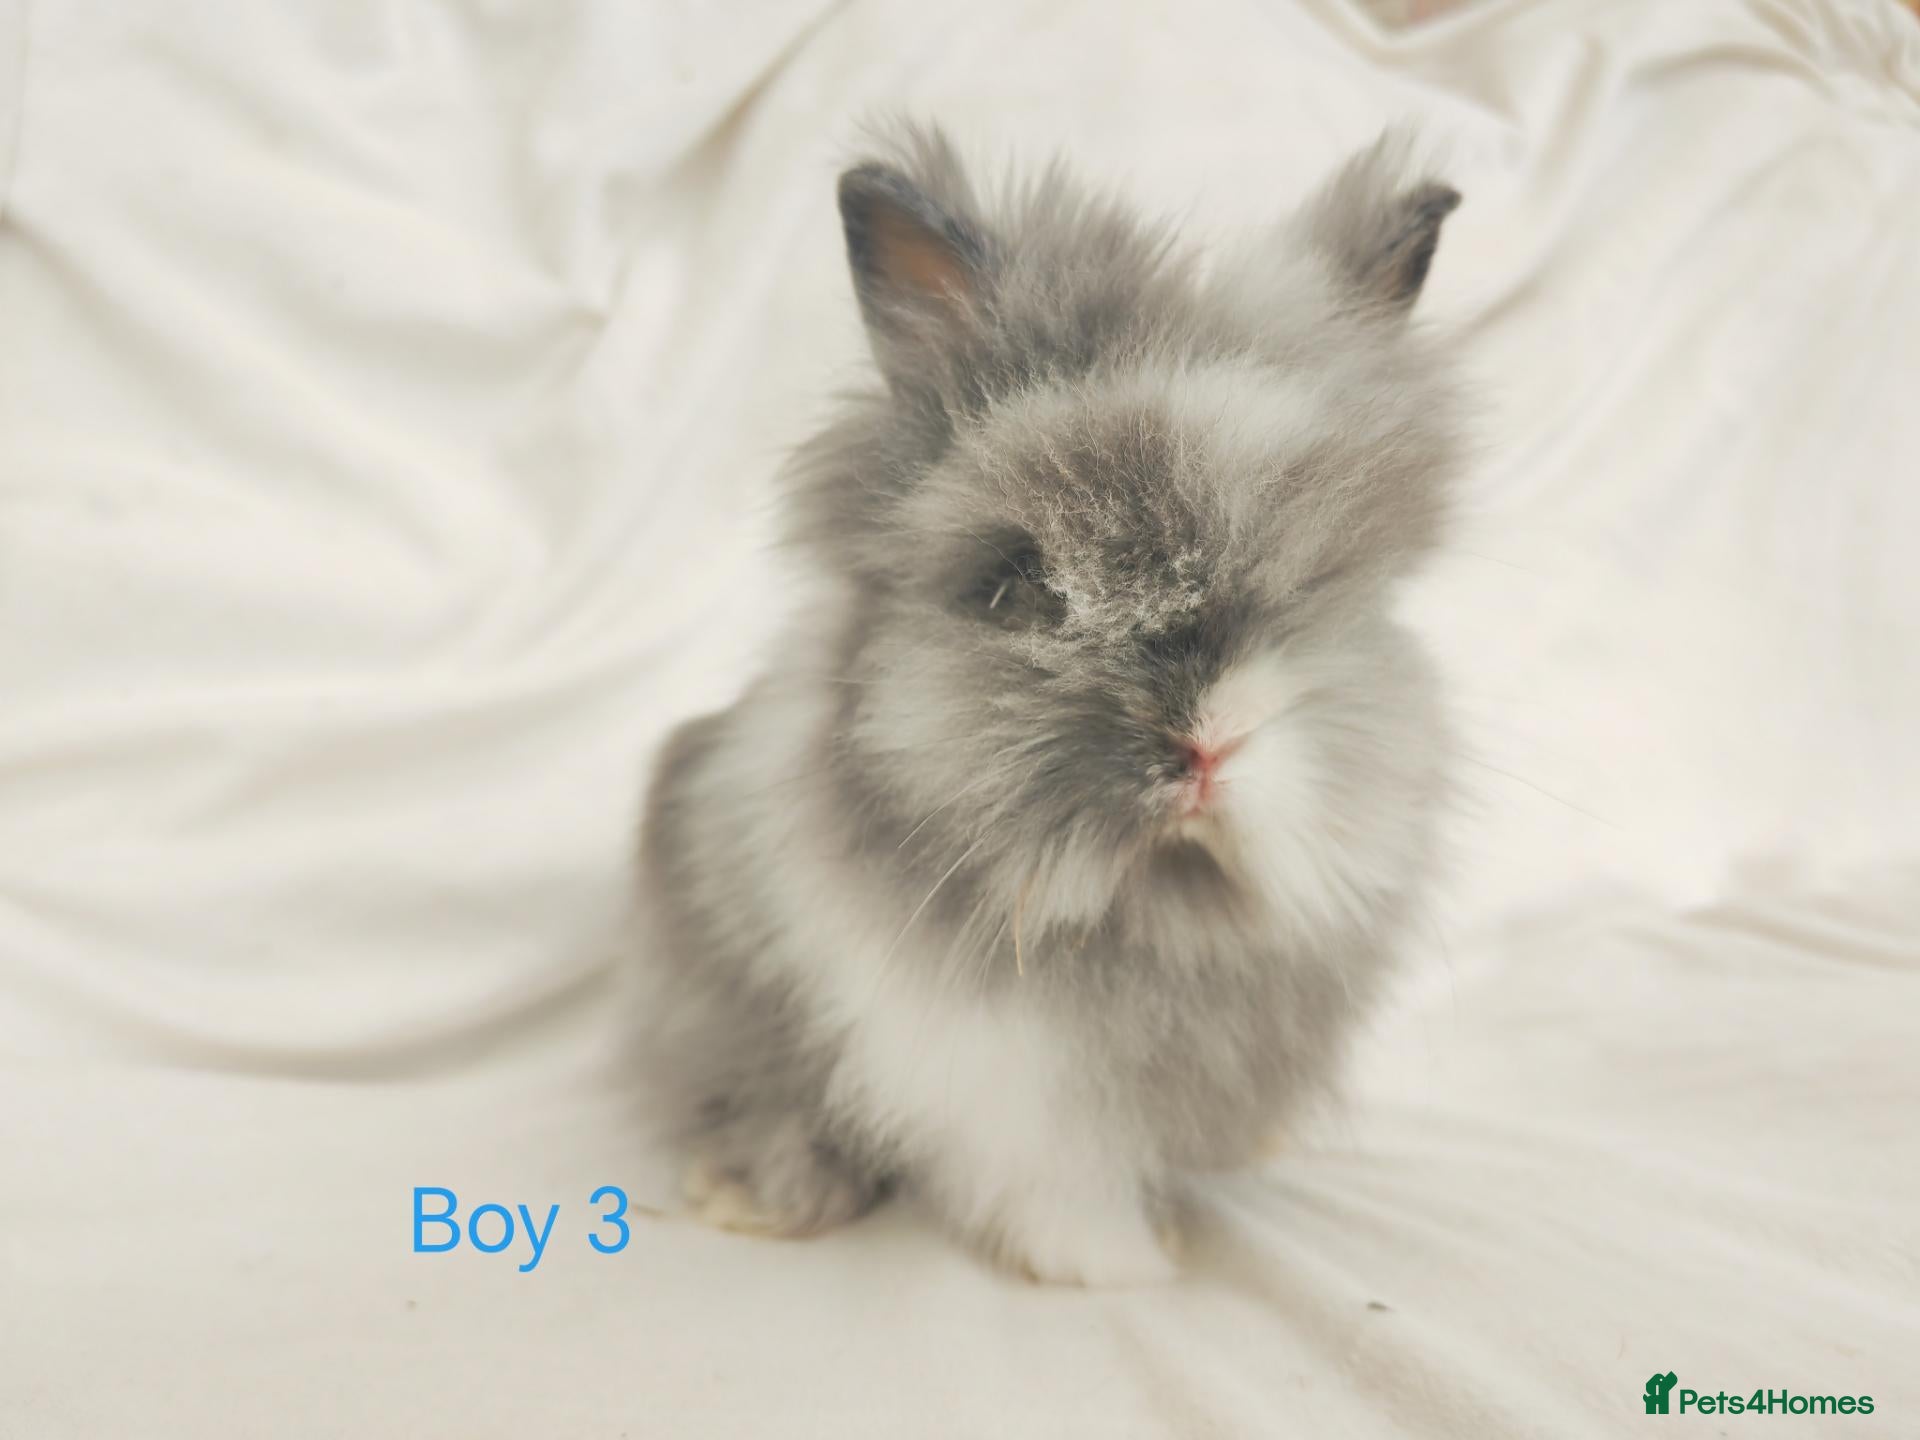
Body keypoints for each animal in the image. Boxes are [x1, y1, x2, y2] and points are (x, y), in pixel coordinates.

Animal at [634, 124, 1463, 1286]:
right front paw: (1117, 1262)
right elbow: (1054, 1179)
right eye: (1019, 584)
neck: (1149, 911)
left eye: (1320, 584)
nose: (1209, 746)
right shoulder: (1001, 1089)